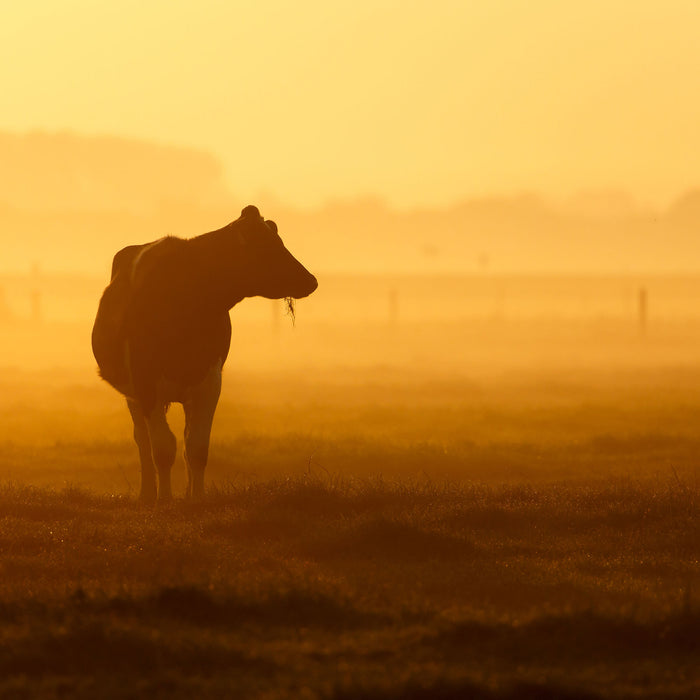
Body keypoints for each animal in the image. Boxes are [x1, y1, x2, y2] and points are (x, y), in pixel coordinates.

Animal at [91, 204, 318, 504]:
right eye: (268, 246)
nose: (311, 281)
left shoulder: (210, 380)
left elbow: (197, 447)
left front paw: (196, 499)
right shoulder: (145, 382)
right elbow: (162, 448)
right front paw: (165, 499)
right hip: (133, 395)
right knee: (142, 441)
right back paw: (147, 493)